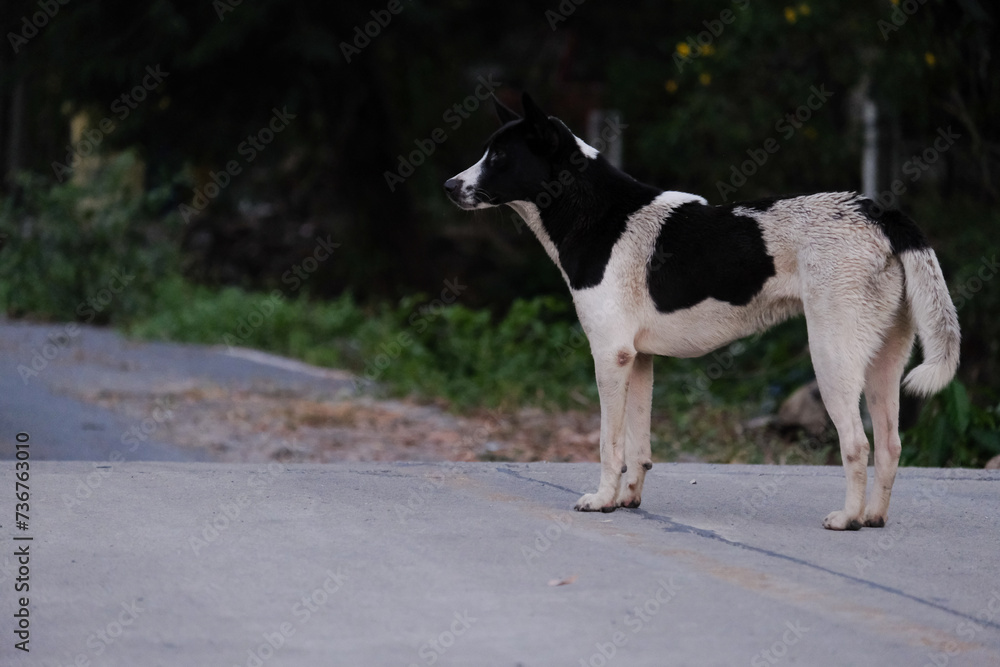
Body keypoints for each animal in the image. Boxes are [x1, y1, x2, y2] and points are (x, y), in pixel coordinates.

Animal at [446, 92, 960, 532]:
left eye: (499, 157)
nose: (449, 185)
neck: (594, 211)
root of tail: (879, 211)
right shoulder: (639, 361)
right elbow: (639, 446)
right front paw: (626, 500)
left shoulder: (609, 357)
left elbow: (610, 445)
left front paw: (601, 499)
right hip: (881, 366)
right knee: (890, 444)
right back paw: (873, 517)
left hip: (832, 360)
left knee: (856, 444)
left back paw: (848, 519)